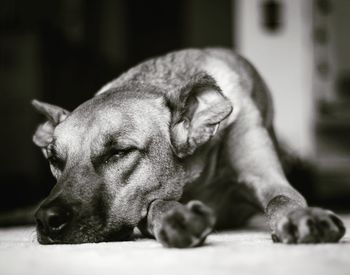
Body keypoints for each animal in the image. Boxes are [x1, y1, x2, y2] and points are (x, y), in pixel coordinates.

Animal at [31, 49, 346, 248]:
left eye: (118, 152)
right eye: (54, 159)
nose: (46, 220)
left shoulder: (267, 177)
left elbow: (281, 198)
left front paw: (301, 217)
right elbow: (156, 204)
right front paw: (178, 216)